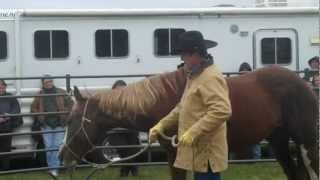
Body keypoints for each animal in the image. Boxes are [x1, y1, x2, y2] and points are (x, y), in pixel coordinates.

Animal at [59, 66, 318, 180]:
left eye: (71, 120)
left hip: (306, 141)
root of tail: (303, 83)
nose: (63, 156)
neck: (165, 99)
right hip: (279, 142)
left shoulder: (176, 154)